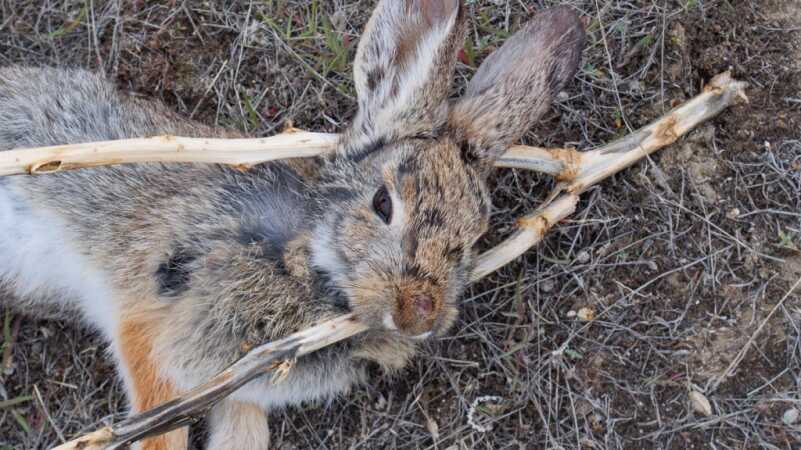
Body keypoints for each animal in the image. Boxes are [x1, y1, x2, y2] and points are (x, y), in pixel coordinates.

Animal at [0, 1, 585, 449]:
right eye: (382, 204)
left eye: (476, 236)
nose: (419, 314)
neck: (311, 266)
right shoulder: (151, 325)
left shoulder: (239, 390)